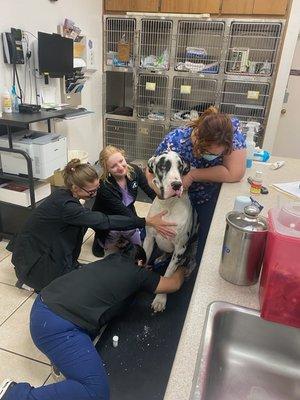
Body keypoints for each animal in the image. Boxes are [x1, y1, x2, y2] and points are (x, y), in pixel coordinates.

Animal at [144, 151, 198, 312]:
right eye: (163, 166)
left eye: (180, 167)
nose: (177, 185)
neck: (168, 204)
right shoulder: (149, 239)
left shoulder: (180, 249)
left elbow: (168, 275)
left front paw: (160, 300)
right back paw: (161, 257)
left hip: (192, 248)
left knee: (192, 261)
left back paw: (188, 269)